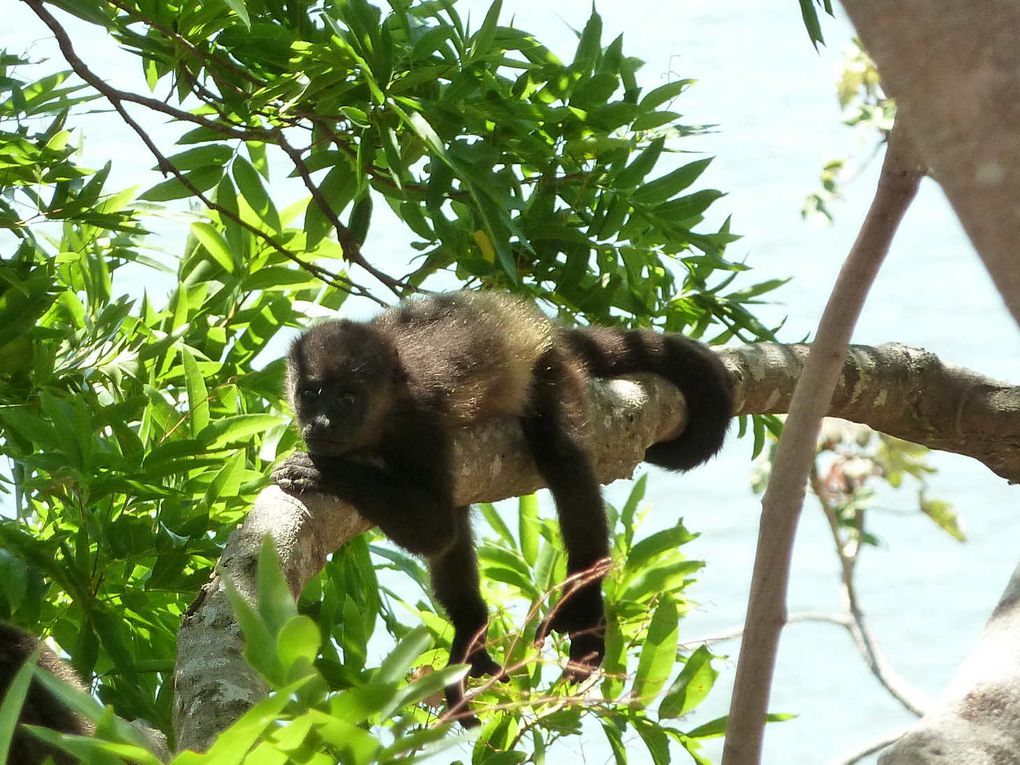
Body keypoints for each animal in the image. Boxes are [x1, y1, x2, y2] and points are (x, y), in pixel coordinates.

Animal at [271, 291, 734, 726]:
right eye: (310, 394)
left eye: (348, 398)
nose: (321, 423)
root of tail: (542, 325)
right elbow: (444, 530)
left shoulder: (420, 424)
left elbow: (434, 528)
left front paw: (325, 470)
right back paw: (470, 631)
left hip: (550, 369)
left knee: (562, 459)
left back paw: (584, 602)